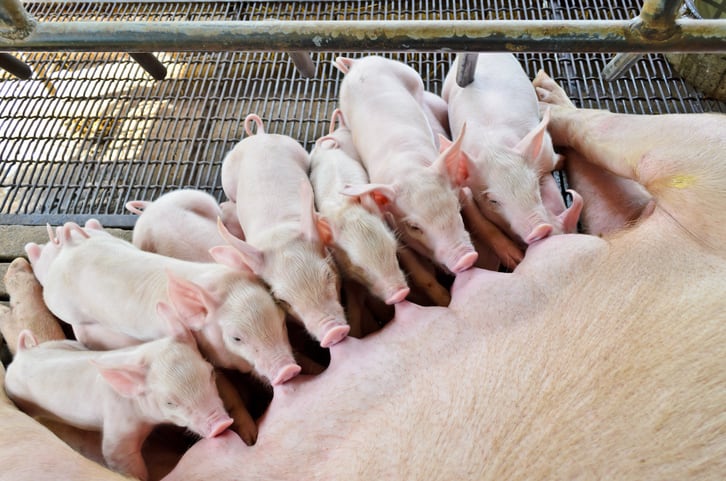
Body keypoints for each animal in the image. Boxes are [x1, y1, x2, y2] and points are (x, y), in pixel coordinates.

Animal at [4, 328, 233, 481]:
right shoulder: (118, 424)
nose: (222, 423)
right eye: (170, 402)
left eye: (210, 374)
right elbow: (115, 454)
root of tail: (22, 354)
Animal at [220, 113, 349, 348]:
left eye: (328, 275)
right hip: (228, 173)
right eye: (282, 300)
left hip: (295, 148)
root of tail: (260, 136)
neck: (278, 232)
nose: (333, 332)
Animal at [334, 55, 478, 274]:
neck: (410, 169)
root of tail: (357, 64)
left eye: (456, 207)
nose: (466, 258)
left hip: (411, 75)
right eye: (414, 227)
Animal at [442, 53, 583, 245]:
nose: (540, 228)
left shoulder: (545, 147)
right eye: (493, 201)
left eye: (535, 186)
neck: (495, 145)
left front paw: (563, 160)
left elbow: (553, 160)